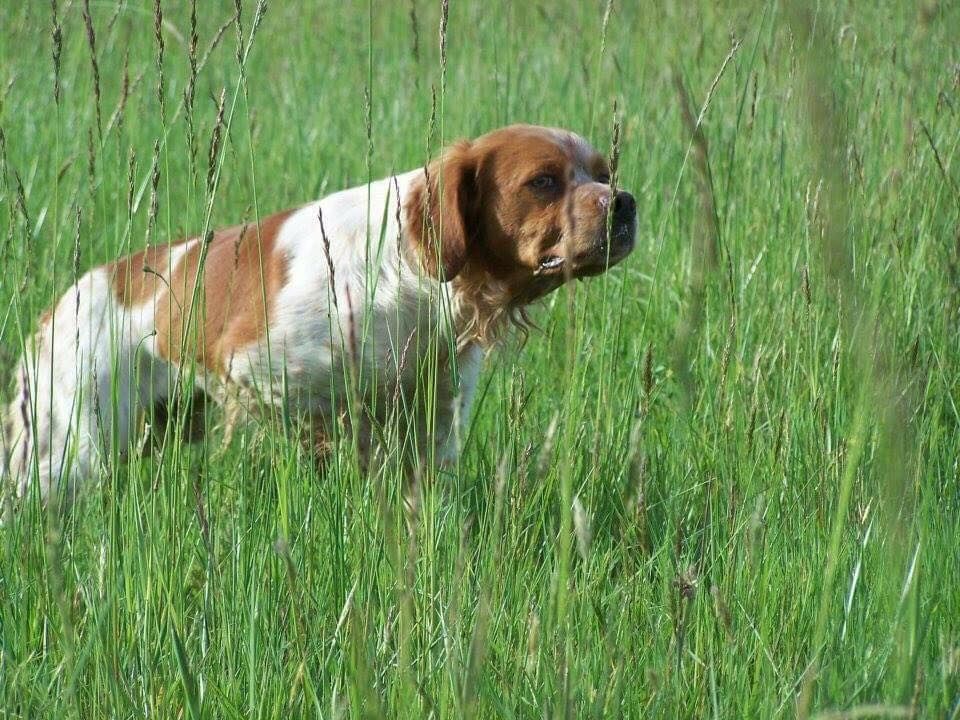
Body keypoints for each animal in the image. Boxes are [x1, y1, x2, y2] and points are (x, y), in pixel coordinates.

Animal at [1, 124, 636, 506]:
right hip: (67, 450)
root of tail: (56, 309)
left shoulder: (433, 418)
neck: (413, 277)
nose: (625, 203)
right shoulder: (264, 372)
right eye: (544, 181)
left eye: (604, 174)